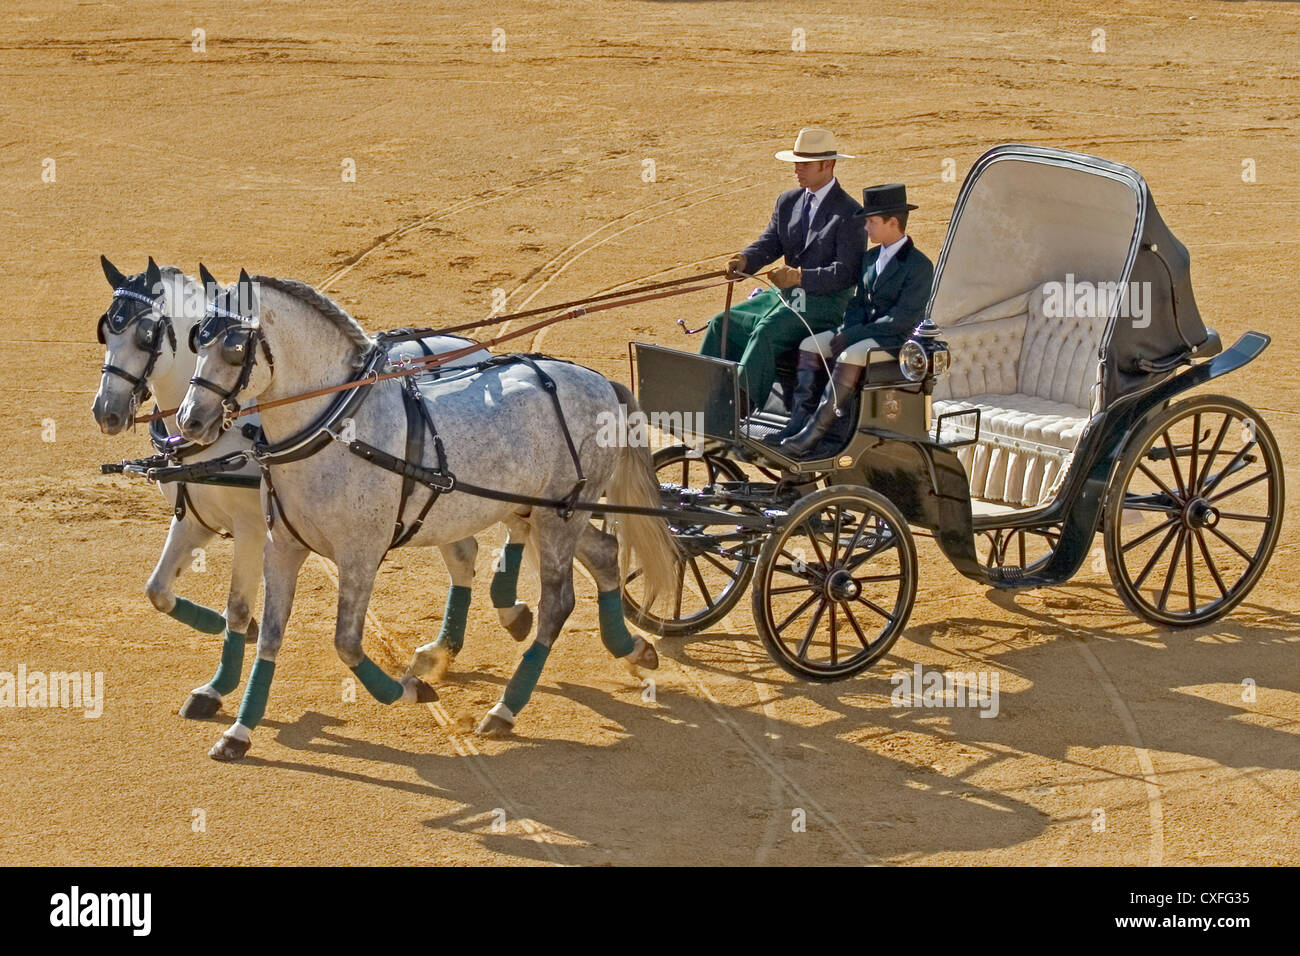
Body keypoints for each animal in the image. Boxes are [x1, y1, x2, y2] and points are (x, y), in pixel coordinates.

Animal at [90, 257, 533, 723]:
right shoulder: (195, 520)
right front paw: (231, 651)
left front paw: (218, 686)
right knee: (465, 553)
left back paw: (510, 613)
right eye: (106, 330)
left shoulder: (252, 529)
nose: (106, 412)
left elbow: (238, 607)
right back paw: (443, 650)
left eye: (146, 333)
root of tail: (476, 348)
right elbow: (158, 590)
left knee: (518, 523)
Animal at [176, 270, 676, 764]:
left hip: (558, 519)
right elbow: (269, 637)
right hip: (555, 511)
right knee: (605, 553)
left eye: (235, 347)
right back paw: (633, 649)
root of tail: (600, 382)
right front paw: (239, 732)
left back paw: (505, 709)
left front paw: (411, 691)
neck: (334, 427)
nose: (189, 420)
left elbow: (347, 643)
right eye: (197, 339)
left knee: (558, 603)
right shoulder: (282, 548)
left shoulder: (360, 557)